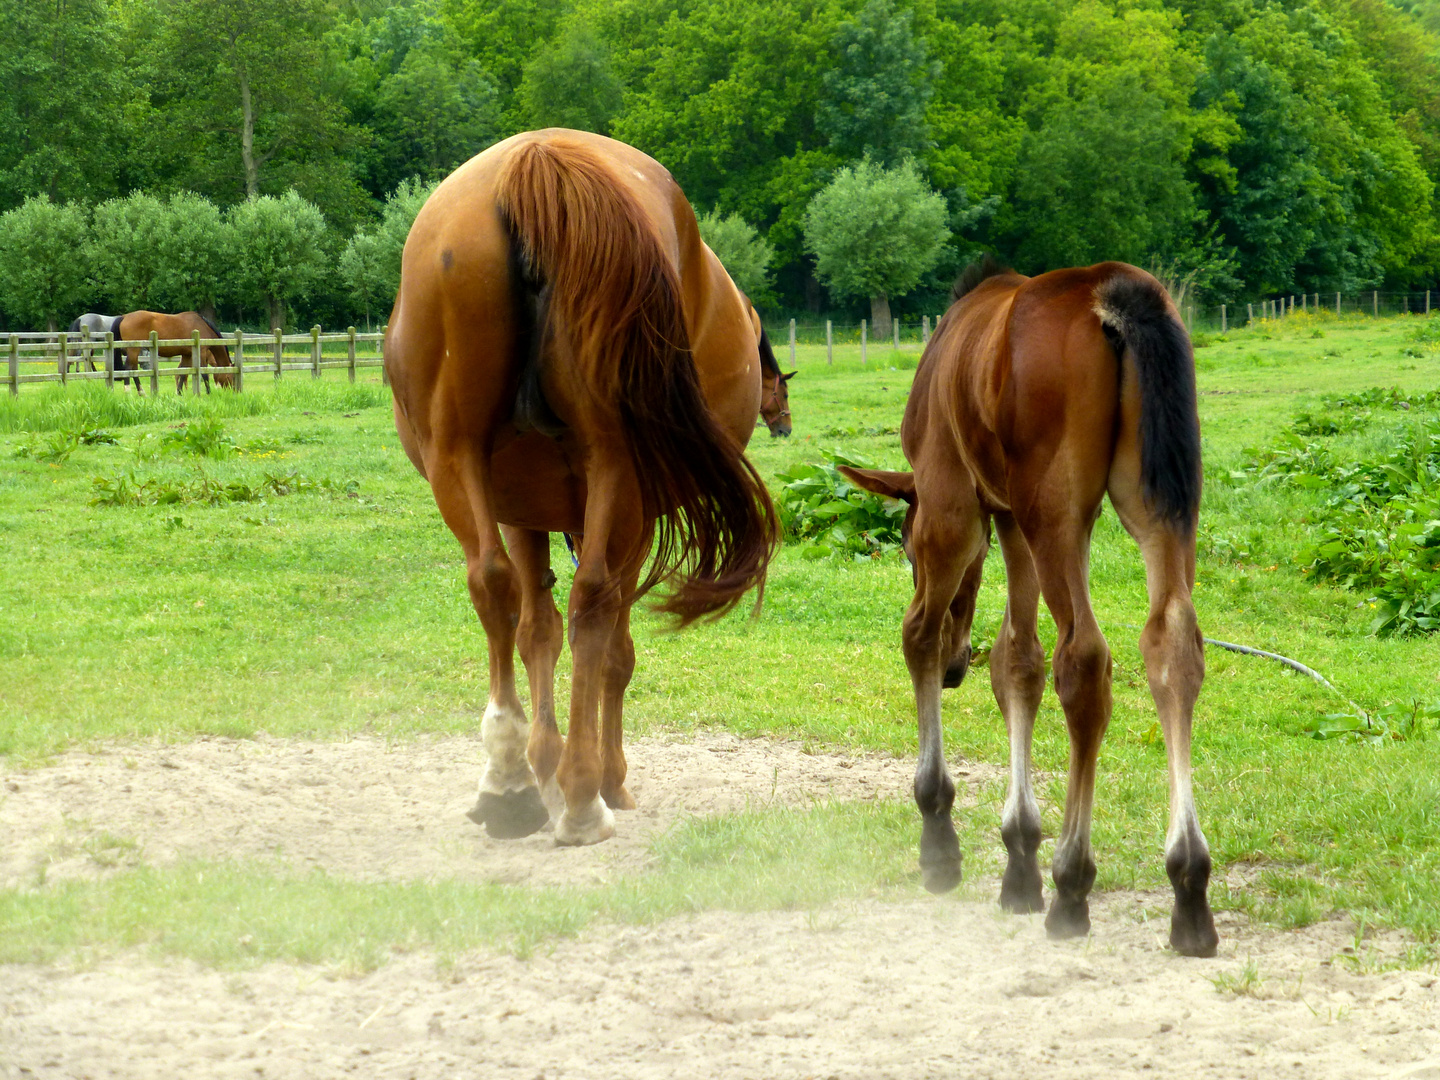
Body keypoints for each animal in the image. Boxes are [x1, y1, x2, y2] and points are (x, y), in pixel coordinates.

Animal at [385, 131, 777, 852]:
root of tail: (536, 160)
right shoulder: (631, 516)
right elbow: (611, 648)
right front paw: (597, 774)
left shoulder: (518, 507)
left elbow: (534, 627)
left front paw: (543, 760)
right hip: (618, 468)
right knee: (593, 603)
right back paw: (581, 798)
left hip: (458, 455)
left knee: (493, 584)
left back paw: (508, 779)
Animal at [840, 260, 1215, 956]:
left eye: (903, 546)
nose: (955, 668)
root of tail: (1118, 295)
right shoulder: (1008, 517)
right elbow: (1017, 660)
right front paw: (1018, 857)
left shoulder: (953, 503)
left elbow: (920, 634)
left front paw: (940, 835)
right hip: (1156, 502)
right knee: (1170, 643)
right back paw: (1188, 885)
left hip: (1054, 508)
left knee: (1085, 658)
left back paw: (1073, 882)